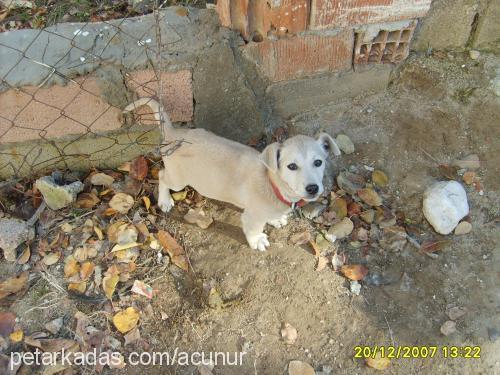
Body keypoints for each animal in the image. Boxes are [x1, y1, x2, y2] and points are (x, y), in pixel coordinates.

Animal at [123, 99, 342, 253]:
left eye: (318, 162)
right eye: (291, 166)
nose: (313, 188)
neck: (272, 184)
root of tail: (175, 134)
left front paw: (276, 220)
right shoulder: (251, 217)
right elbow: (254, 230)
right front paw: (258, 241)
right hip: (178, 179)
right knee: (162, 175)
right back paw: (165, 200)